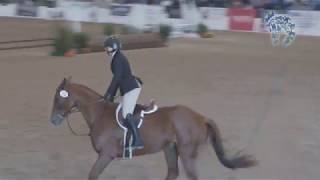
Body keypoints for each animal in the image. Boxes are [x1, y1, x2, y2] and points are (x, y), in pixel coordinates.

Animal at [50, 78, 258, 180]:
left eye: (59, 98)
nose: (53, 120)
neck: (99, 113)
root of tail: (200, 117)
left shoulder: (106, 155)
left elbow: (92, 175)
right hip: (170, 148)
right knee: (173, 173)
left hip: (186, 151)